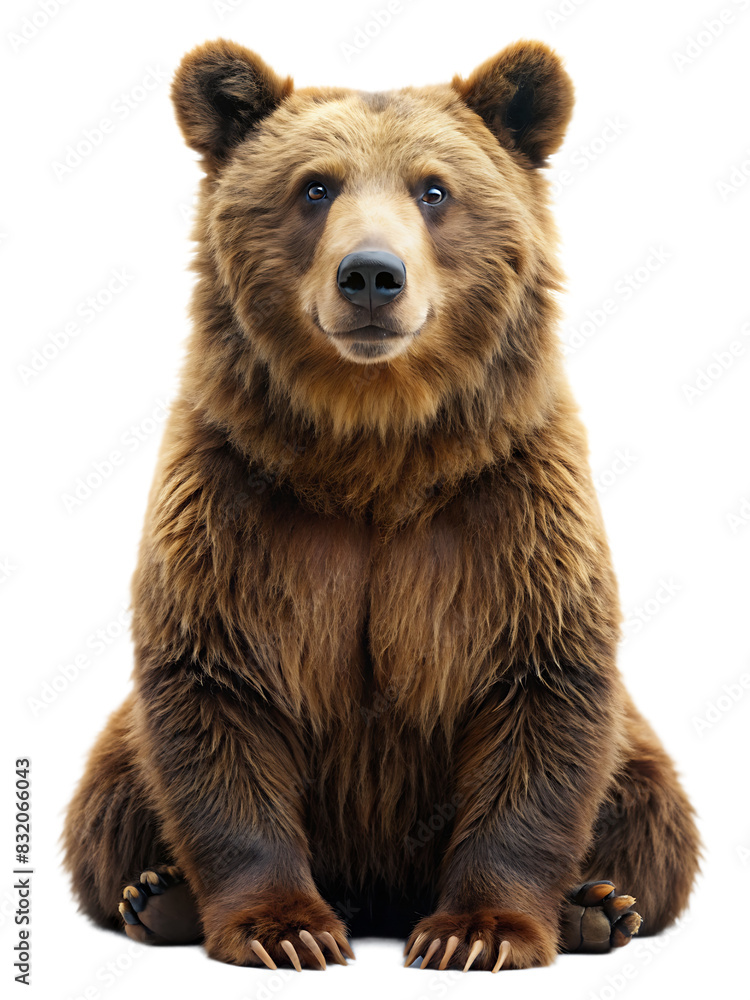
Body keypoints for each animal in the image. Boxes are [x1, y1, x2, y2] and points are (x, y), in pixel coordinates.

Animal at [63, 38, 700, 973]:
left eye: (434, 189)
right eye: (314, 186)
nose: (371, 275)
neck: (376, 447)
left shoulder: (508, 509)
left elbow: (539, 689)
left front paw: (479, 932)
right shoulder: (234, 503)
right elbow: (215, 687)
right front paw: (286, 929)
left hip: (639, 747)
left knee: (654, 812)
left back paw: (596, 905)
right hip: (118, 748)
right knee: (105, 803)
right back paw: (158, 893)